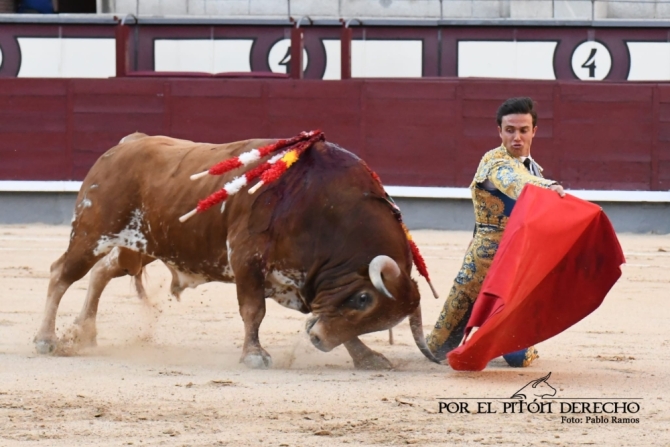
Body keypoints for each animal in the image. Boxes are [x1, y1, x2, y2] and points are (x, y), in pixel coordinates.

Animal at [34, 134, 440, 372]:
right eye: (362, 299)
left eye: (378, 319)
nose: (318, 343)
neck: (324, 206)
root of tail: (123, 145)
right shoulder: (246, 259)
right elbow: (253, 311)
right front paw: (254, 356)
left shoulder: (307, 283)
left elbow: (329, 319)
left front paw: (367, 356)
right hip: (91, 233)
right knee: (61, 273)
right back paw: (46, 340)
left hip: (143, 244)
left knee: (102, 271)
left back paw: (84, 334)